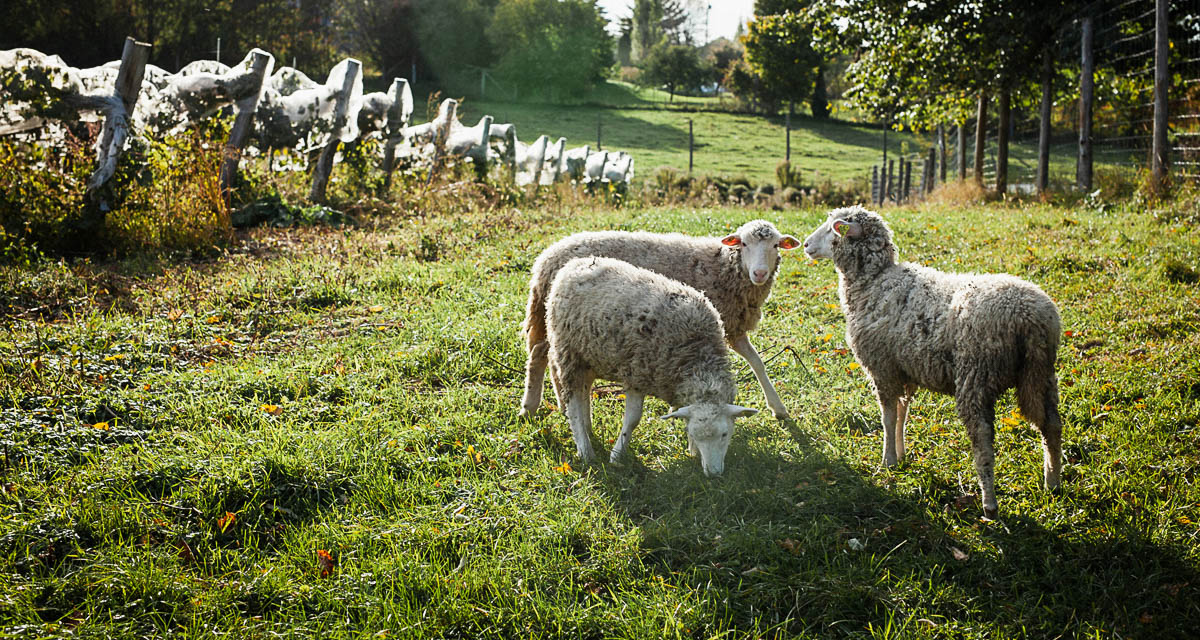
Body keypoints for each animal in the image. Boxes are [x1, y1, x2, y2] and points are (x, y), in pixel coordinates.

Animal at [521, 219, 801, 421]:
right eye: (743, 244)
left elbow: (758, 363)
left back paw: (561, 404)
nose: (760, 273)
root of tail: (544, 259)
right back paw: (530, 406)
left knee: (551, 359)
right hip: (564, 318)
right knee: (539, 353)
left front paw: (779, 408)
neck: (723, 266)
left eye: (775, 245)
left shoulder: (732, 327)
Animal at [545, 256, 758, 475]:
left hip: (589, 355)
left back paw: (588, 428)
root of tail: (574, 264)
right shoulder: (636, 373)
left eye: (725, 434)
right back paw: (585, 450)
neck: (697, 354)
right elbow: (633, 419)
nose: (713, 473)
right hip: (568, 352)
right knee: (573, 404)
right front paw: (617, 455)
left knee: (584, 392)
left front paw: (692, 451)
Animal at [802, 206, 1063, 519]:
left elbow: (888, 416)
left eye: (834, 227)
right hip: (1039, 374)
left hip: (976, 375)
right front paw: (901, 456)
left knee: (983, 438)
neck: (875, 280)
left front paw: (887, 460)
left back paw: (989, 502)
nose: (805, 245)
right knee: (1051, 424)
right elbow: (902, 412)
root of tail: (1028, 317)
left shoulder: (882, 367)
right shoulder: (904, 368)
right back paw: (1053, 482)